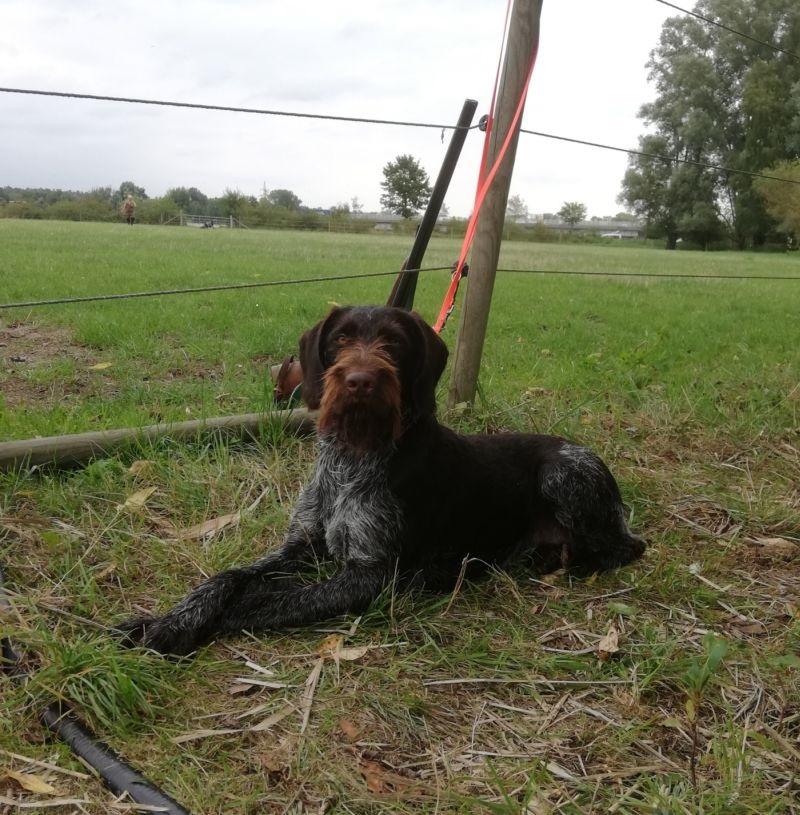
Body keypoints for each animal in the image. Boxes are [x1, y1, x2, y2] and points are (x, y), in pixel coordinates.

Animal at [119, 306, 644, 656]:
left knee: (623, 547)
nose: (359, 381)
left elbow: (268, 601)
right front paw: (174, 618)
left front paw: (190, 624)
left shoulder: (370, 573)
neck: (353, 457)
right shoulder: (301, 546)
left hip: (563, 472)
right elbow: (228, 579)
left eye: (394, 343)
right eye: (340, 339)